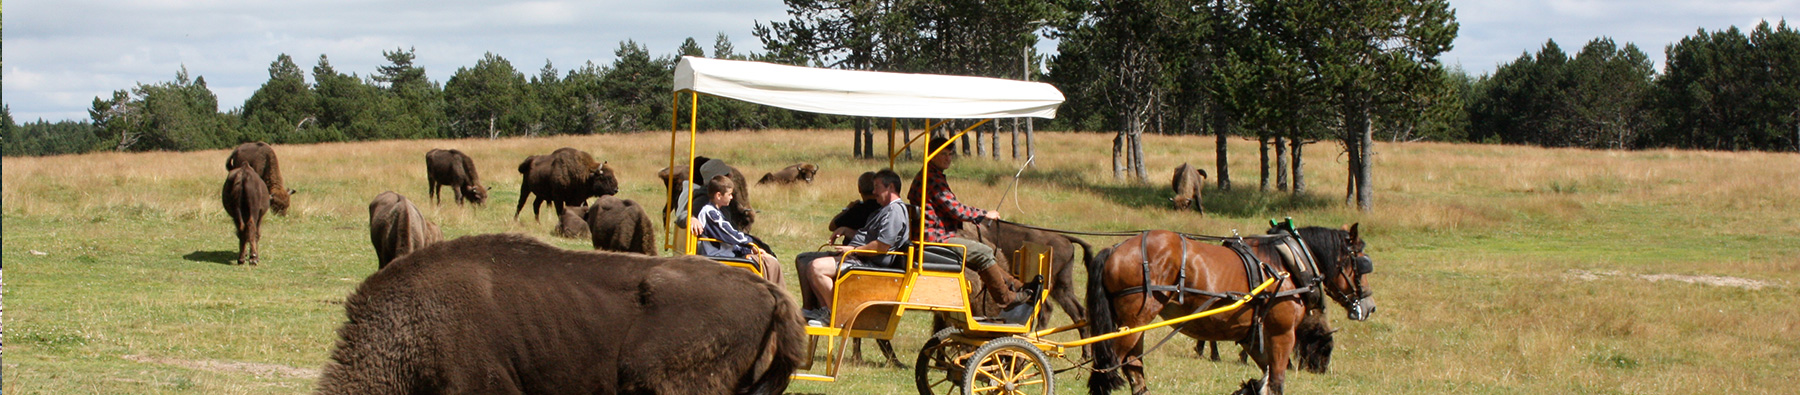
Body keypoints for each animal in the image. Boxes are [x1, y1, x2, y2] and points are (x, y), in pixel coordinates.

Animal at [1080, 225, 1375, 395]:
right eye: (1360, 263)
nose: (1369, 307)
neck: (1287, 265)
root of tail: (1115, 249)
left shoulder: (1253, 339)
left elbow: (1262, 382)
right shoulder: (1281, 334)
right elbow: (1276, 383)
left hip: (1134, 325)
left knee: (1134, 369)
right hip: (1132, 323)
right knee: (1105, 370)